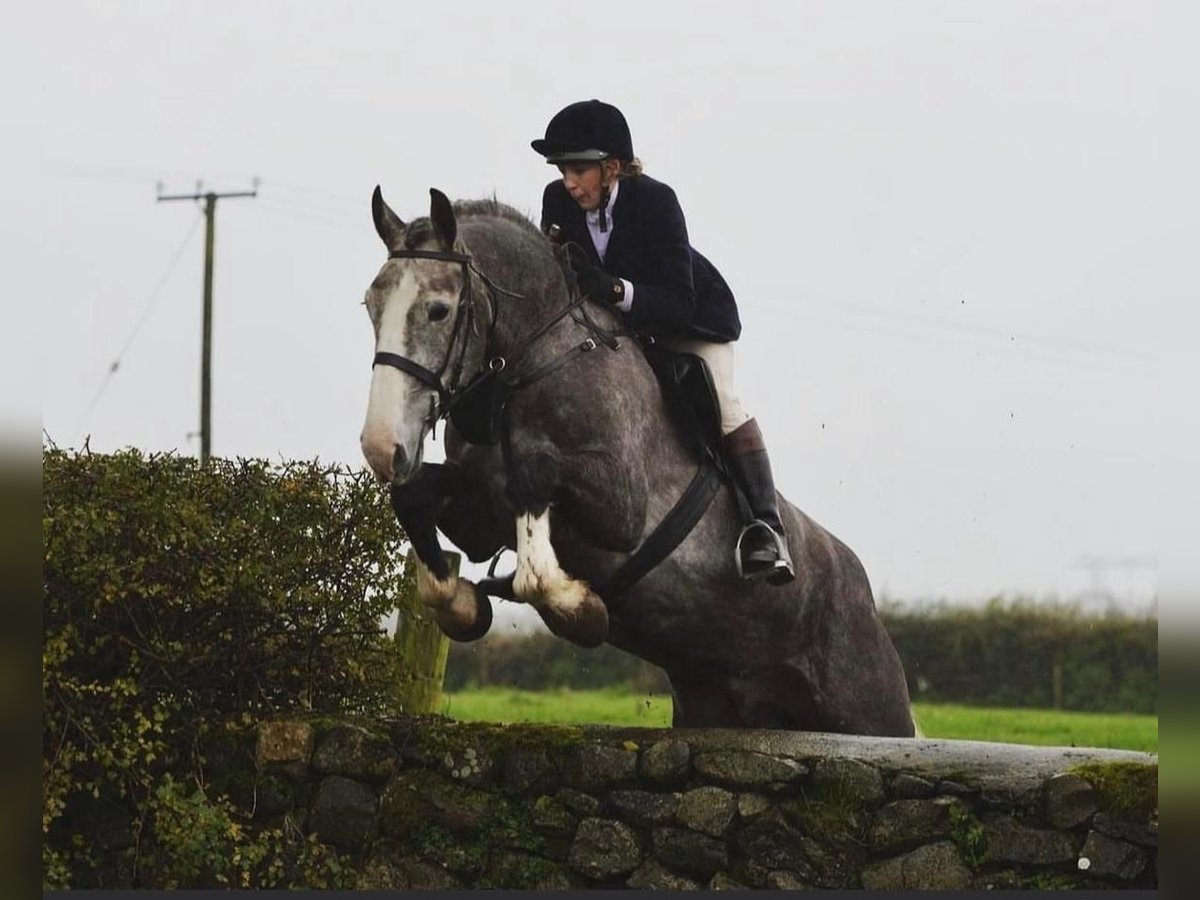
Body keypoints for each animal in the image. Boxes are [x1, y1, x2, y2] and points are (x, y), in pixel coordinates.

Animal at [360, 187, 912, 734]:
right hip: (712, 706)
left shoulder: (622, 508)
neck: (533, 366)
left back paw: (766, 547)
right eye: (371, 305)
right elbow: (415, 498)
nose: (381, 447)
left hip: (870, 711)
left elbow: (535, 483)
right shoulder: (479, 517)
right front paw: (465, 605)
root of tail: (864, 596)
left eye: (438, 310)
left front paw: (578, 608)